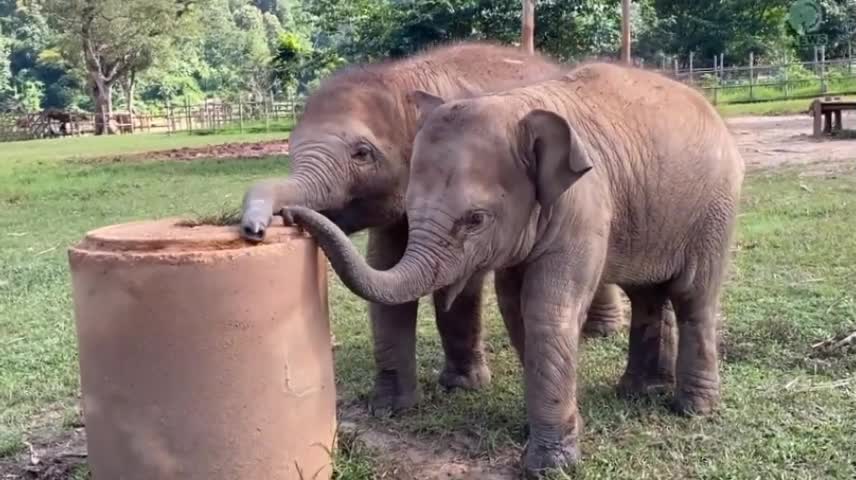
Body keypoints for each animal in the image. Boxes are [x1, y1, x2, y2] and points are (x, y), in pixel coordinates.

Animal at [237, 43, 624, 414]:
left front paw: (463, 386)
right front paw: (390, 407)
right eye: (290, 147)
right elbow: (384, 270)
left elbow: (460, 284)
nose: (257, 228)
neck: (399, 76)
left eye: (361, 153)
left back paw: (601, 331)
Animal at [280, 62, 744, 476]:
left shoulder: (584, 206)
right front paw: (548, 433)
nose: (286, 214)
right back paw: (640, 392)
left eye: (475, 219)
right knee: (647, 294)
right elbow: (513, 307)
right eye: (408, 206)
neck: (514, 106)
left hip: (714, 211)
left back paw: (692, 409)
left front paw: (551, 466)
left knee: (692, 297)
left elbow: (546, 311)